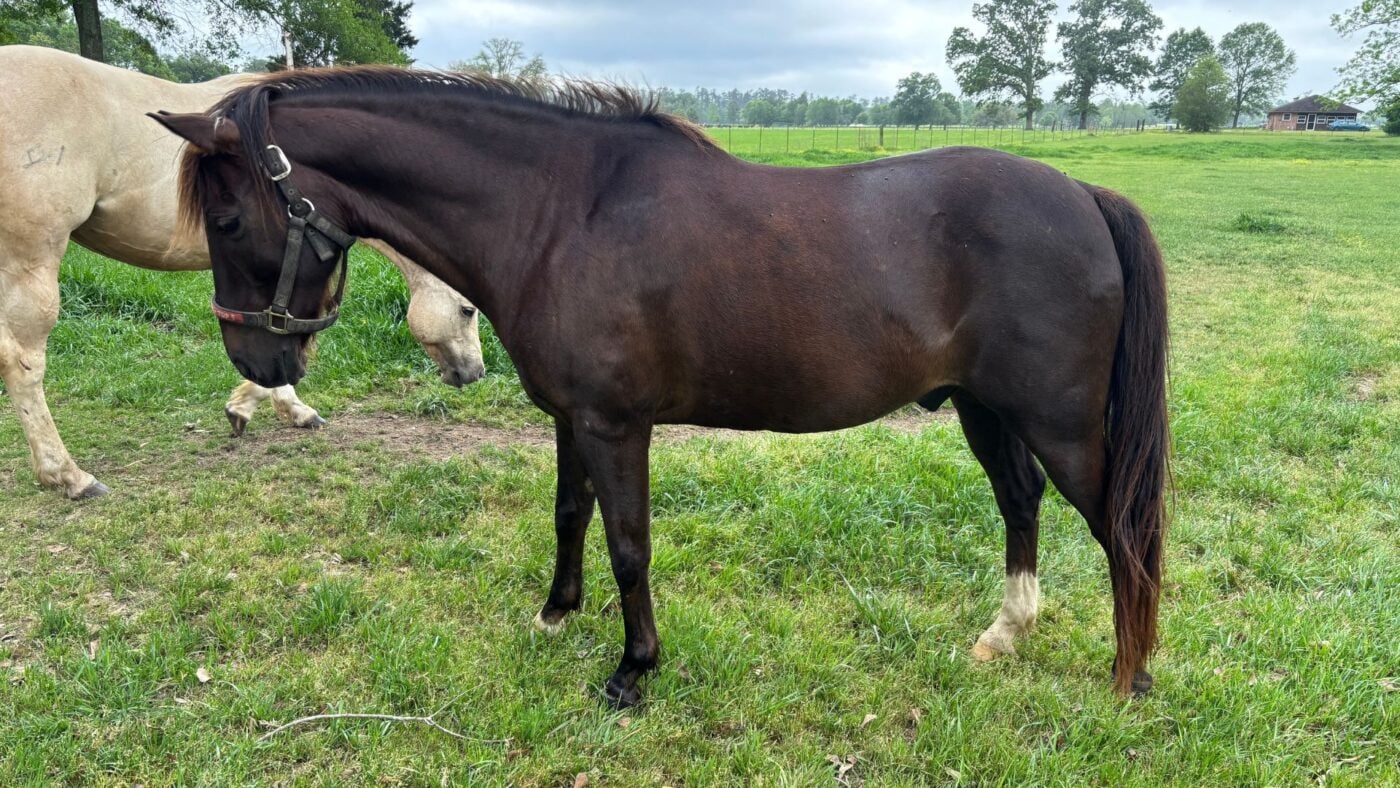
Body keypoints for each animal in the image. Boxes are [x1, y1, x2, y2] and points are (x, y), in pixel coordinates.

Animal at [0, 46, 485, 500]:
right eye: (468, 310)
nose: (474, 373)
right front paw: (262, 406)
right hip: (30, 265)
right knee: (23, 363)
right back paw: (68, 475)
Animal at [155, 66, 1171, 705]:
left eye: (229, 218)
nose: (257, 367)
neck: (561, 215)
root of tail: (1084, 197)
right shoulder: (571, 418)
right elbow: (570, 516)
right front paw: (555, 615)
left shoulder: (616, 424)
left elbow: (629, 545)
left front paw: (634, 670)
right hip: (985, 409)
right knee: (1021, 503)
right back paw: (1006, 634)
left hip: (1059, 423)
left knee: (1119, 527)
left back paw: (1130, 676)